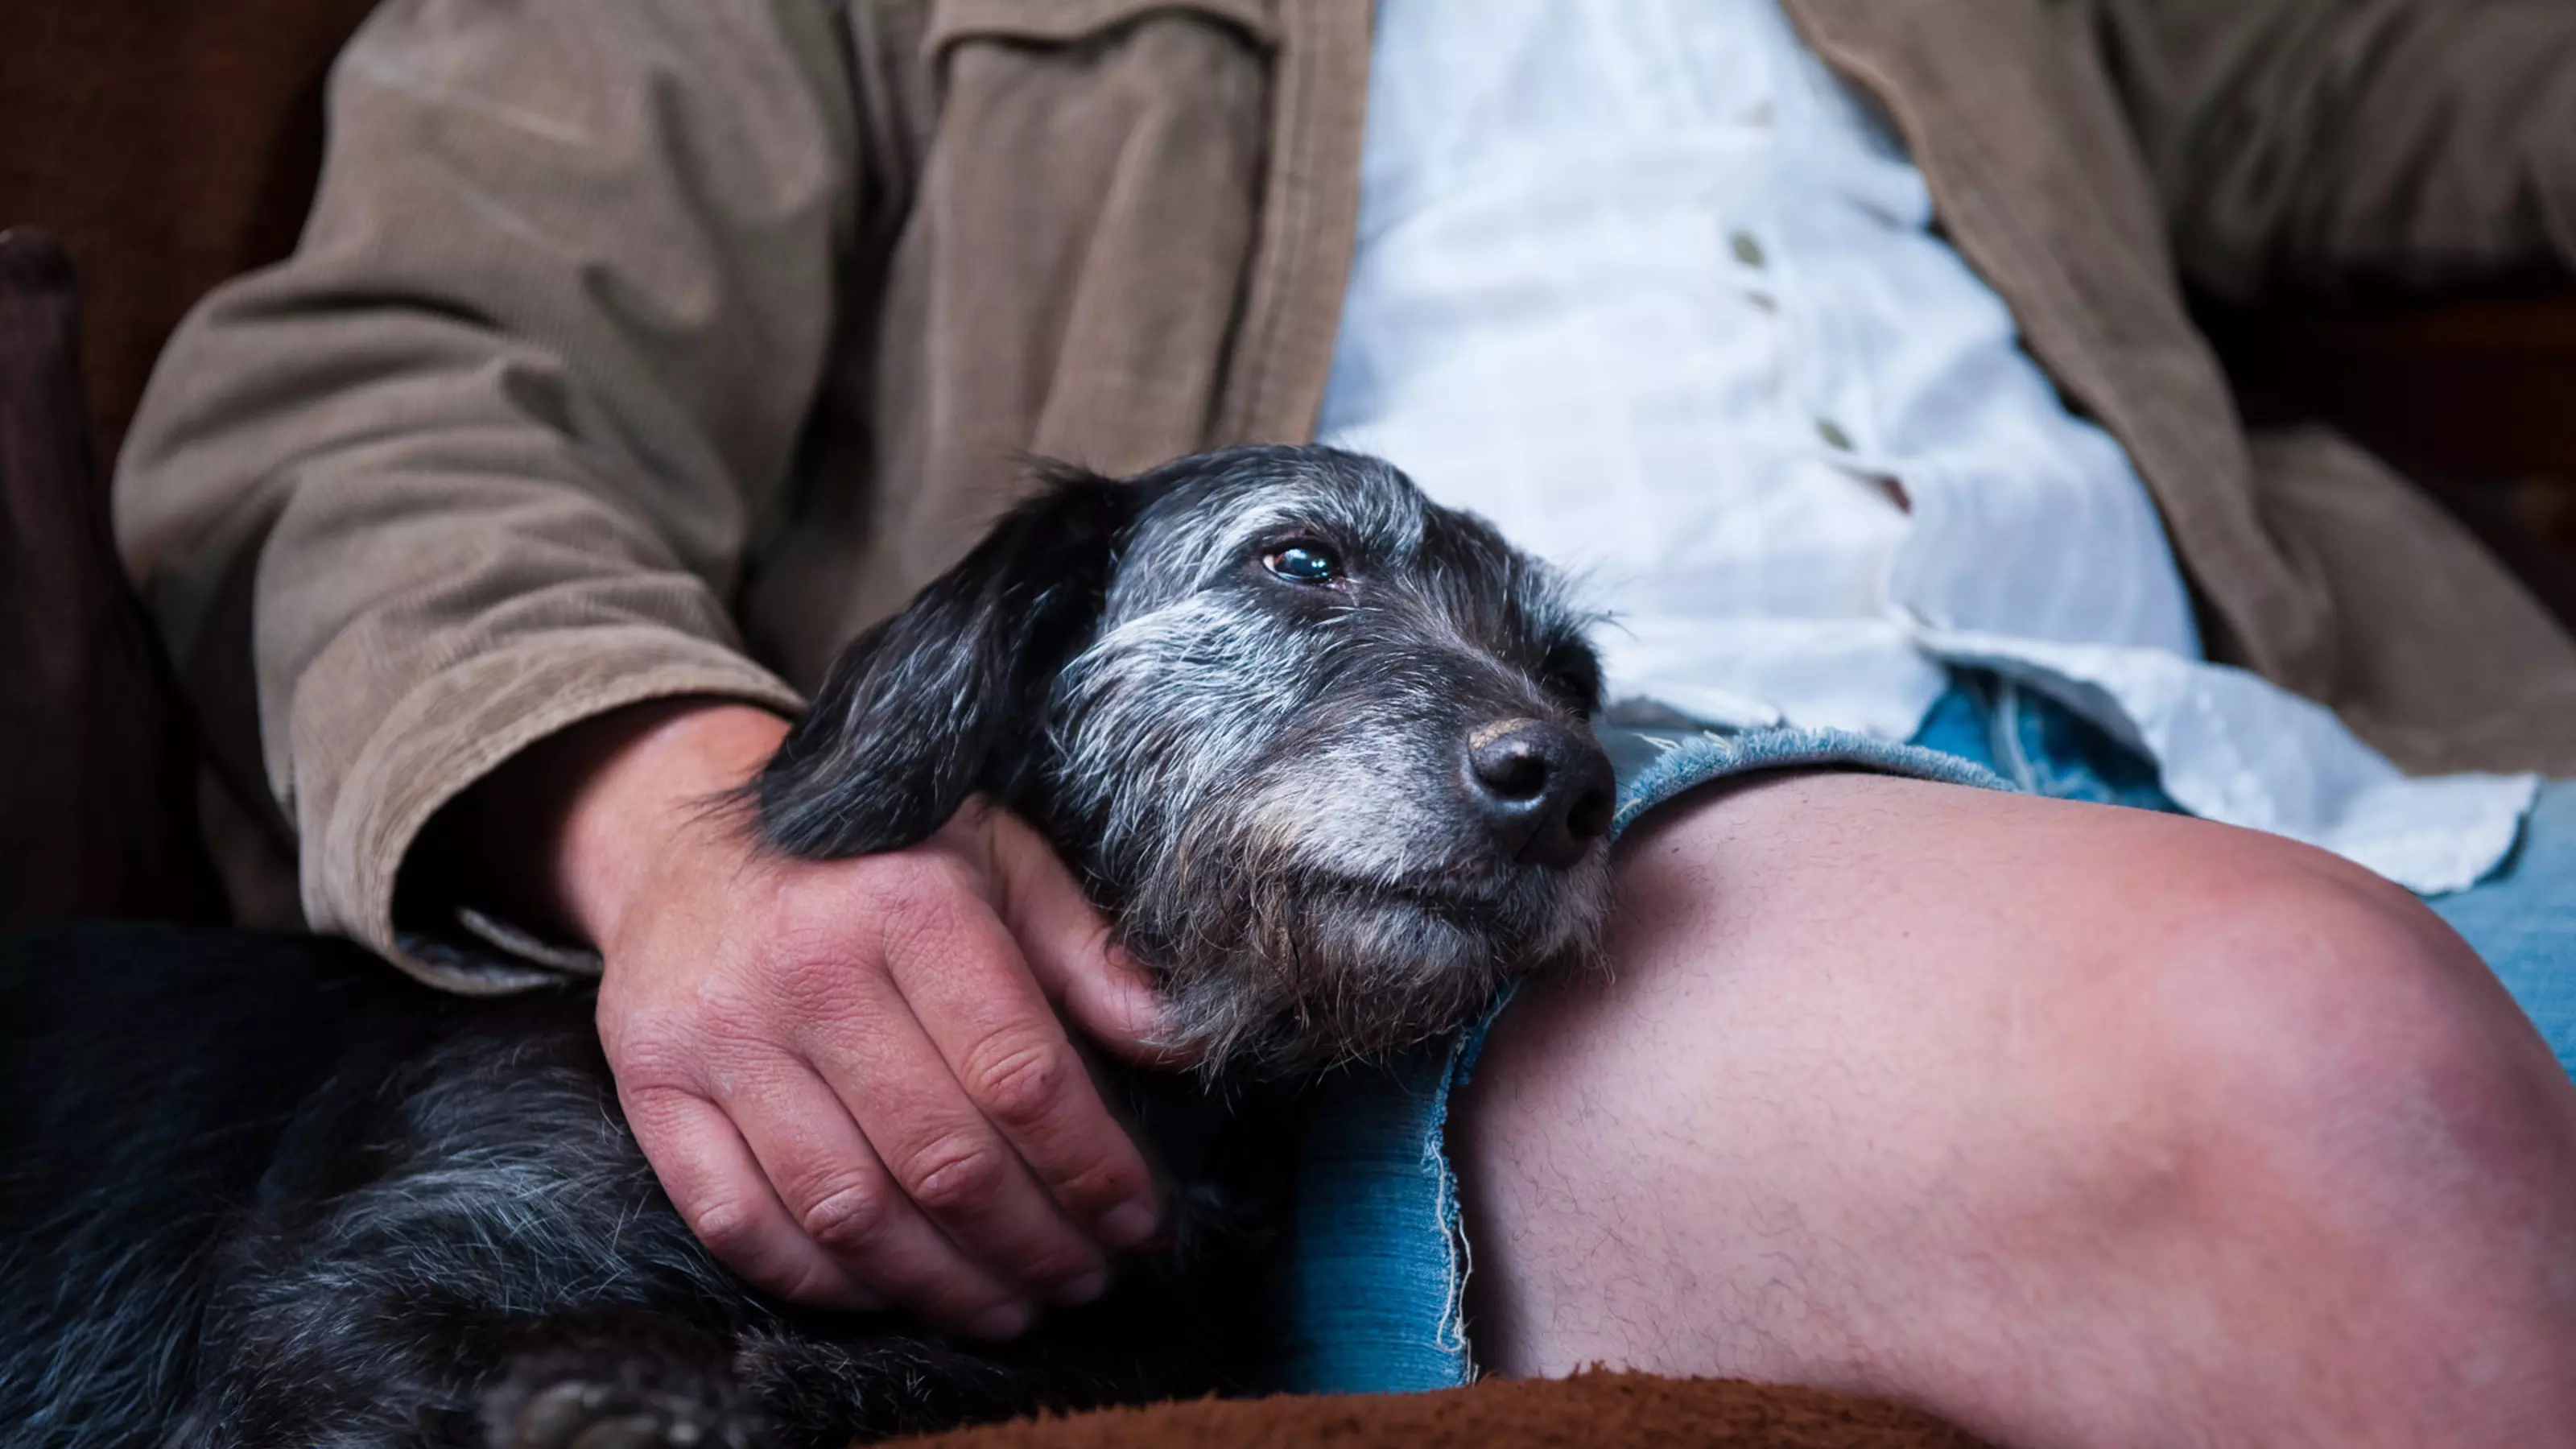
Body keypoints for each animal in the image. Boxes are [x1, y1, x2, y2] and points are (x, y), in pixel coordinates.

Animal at [0, 440, 1607, 1443]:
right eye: (1300, 559)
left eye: (1573, 671)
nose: (1572, 786)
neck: (1148, 1101)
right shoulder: (323, 1300)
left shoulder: (1117, 1359)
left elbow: (896, 1375)